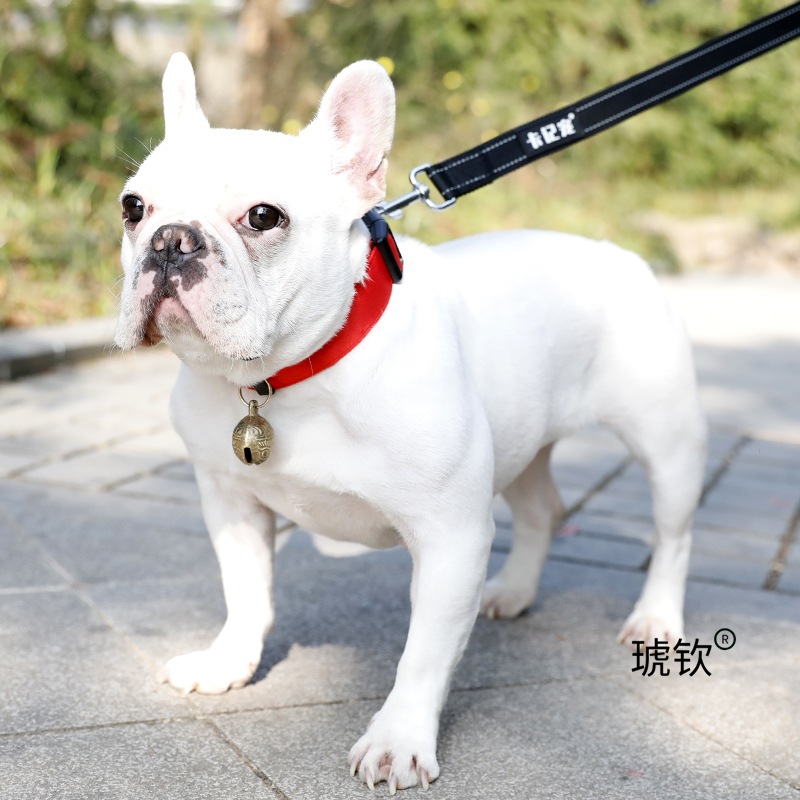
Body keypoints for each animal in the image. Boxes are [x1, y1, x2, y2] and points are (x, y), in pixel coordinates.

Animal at [115, 53, 707, 792]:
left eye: (263, 216)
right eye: (133, 208)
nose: (170, 241)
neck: (290, 378)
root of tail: (614, 251)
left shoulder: (450, 536)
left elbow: (423, 653)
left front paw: (397, 740)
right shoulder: (231, 503)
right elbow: (245, 591)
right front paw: (229, 662)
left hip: (666, 442)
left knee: (673, 533)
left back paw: (655, 618)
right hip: (523, 441)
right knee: (542, 509)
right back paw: (514, 590)